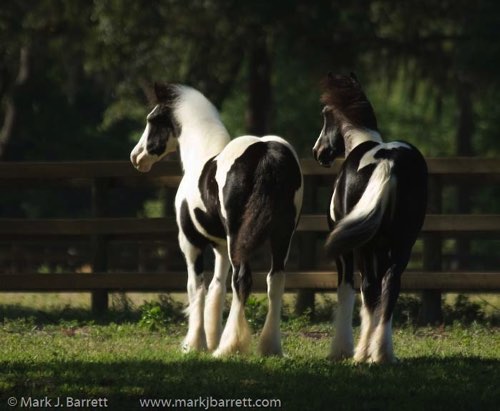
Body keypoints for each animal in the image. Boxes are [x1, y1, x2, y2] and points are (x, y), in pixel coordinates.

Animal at [131, 83, 302, 358]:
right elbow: (217, 287)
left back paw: (228, 347)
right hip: (281, 236)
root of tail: (266, 152)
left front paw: (194, 343)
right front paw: (211, 337)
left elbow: (196, 287)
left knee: (242, 280)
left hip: (239, 239)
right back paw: (270, 347)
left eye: (152, 119)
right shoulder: (220, 247)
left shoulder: (190, 243)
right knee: (275, 281)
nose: (137, 157)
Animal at [312, 74, 426, 364]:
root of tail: (388, 160)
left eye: (326, 115)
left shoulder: (348, 252)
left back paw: (363, 353)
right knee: (390, 285)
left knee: (370, 287)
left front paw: (341, 349)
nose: (319, 152)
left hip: (364, 247)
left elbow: (347, 290)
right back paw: (383, 353)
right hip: (402, 244)